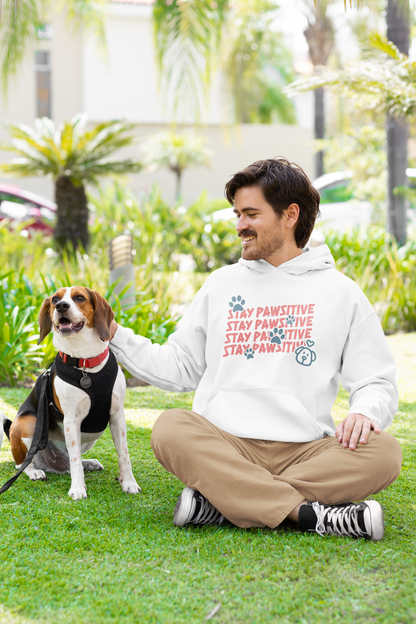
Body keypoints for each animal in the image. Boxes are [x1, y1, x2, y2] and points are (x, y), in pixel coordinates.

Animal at [2, 288, 141, 502]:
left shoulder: (117, 415)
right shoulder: (71, 419)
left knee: (69, 462)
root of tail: (52, 463)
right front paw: (77, 488)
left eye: (79, 297)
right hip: (28, 422)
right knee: (24, 464)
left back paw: (88, 463)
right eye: (55, 299)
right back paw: (34, 472)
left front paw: (129, 483)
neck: (85, 362)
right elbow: (74, 459)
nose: (61, 306)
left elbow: (124, 455)